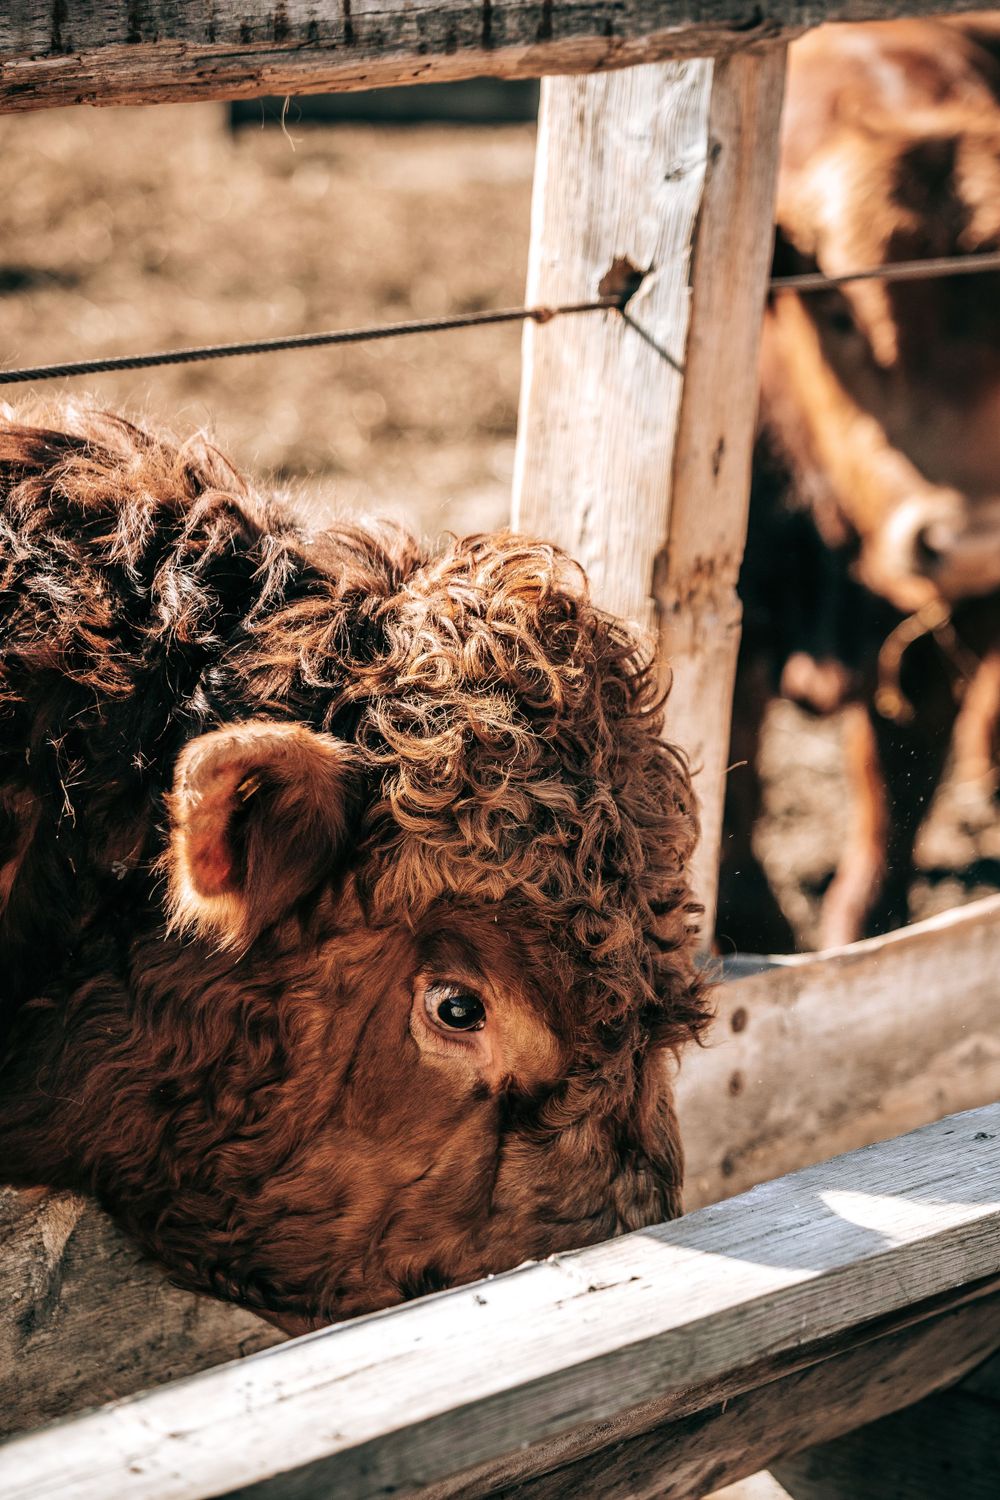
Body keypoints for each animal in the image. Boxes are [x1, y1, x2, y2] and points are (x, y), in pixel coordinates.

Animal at [717, 18, 1000, 954]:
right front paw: (748, 928)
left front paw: (862, 930)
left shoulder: (936, 632)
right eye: (839, 311)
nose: (970, 541)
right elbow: (732, 772)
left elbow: (896, 782)